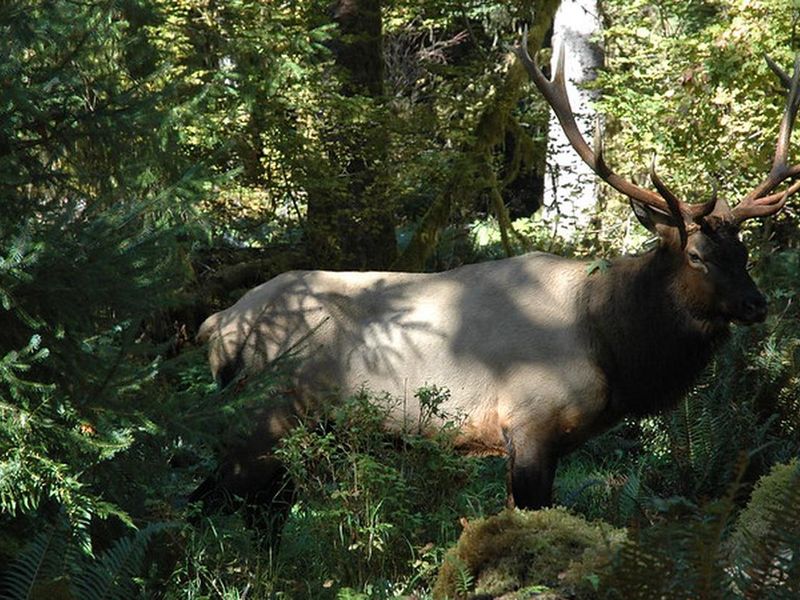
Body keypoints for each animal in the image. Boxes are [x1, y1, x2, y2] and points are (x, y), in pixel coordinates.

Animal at [191, 38, 800, 516]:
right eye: (695, 254)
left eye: (742, 249)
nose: (757, 304)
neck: (612, 349)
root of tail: (216, 323)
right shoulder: (530, 423)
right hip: (260, 420)